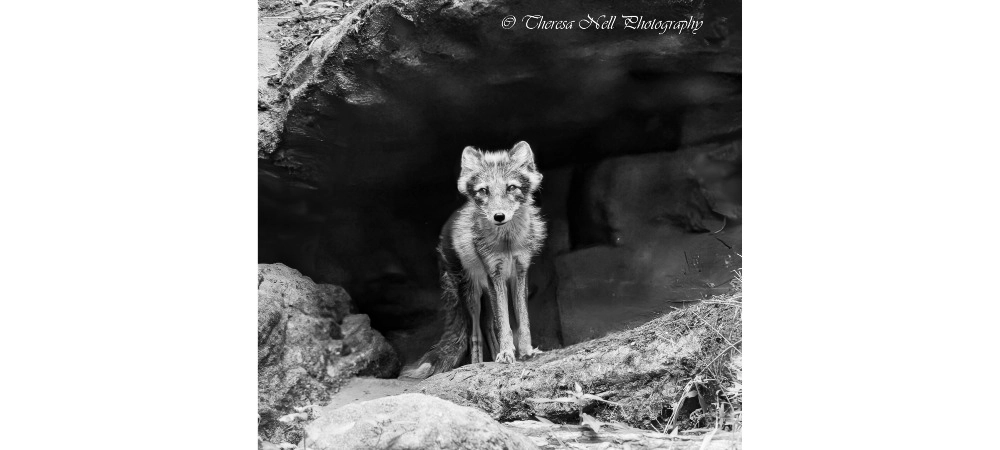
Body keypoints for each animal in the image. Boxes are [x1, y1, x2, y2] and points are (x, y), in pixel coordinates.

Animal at [400, 141, 547, 379]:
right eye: (483, 190)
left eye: (511, 187)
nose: (499, 216)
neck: (507, 244)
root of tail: (445, 231)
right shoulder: (495, 274)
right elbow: (504, 323)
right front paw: (507, 353)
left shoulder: (520, 272)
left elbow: (521, 321)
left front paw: (525, 352)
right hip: (472, 295)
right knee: (474, 334)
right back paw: (477, 364)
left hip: (486, 294)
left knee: (488, 327)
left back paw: (495, 355)